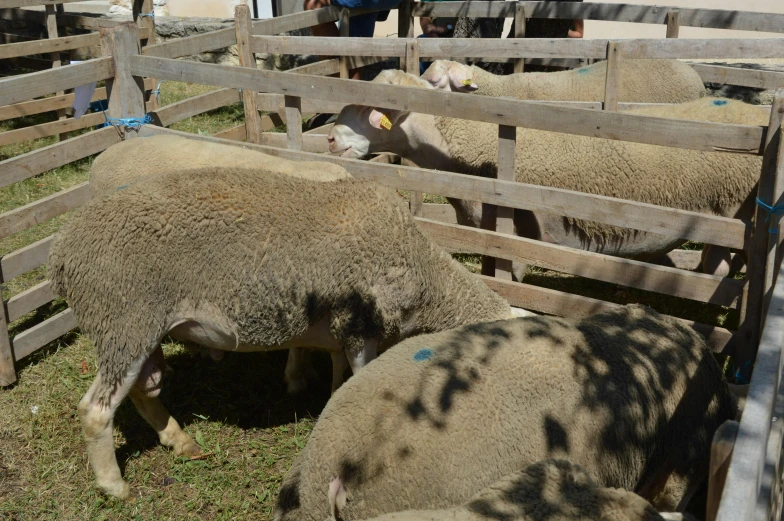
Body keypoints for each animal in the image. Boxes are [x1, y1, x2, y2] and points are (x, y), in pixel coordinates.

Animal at [52, 167, 528, 500]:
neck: (423, 274)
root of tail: (63, 251)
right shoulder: (359, 323)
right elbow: (360, 376)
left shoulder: (338, 326)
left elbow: (335, 368)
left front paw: (322, 390)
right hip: (124, 319)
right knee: (95, 410)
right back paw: (115, 486)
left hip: (133, 332)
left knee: (141, 392)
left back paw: (181, 442)